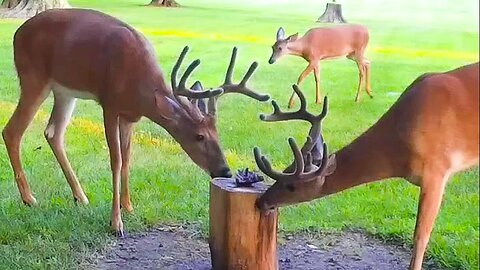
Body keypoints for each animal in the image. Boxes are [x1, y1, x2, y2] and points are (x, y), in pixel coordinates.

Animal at [1, 8, 268, 236]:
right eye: (199, 136)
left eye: (217, 134)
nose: (225, 170)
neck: (140, 91)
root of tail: (17, 34)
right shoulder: (109, 104)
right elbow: (116, 160)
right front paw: (116, 223)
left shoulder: (130, 117)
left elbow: (128, 158)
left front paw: (129, 207)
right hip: (33, 77)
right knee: (12, 131)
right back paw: (29, 198)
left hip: (64, 91)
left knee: (53, 133)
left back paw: (80, 196)